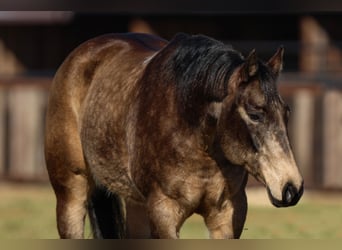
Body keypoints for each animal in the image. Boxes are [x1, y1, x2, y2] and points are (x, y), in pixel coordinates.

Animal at [44, 32, 304, 239]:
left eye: (287, 112)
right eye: (254, 114)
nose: (291, 188)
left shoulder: (229, 213)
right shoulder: (164, 212)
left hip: (137, 205)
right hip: (71, 194)